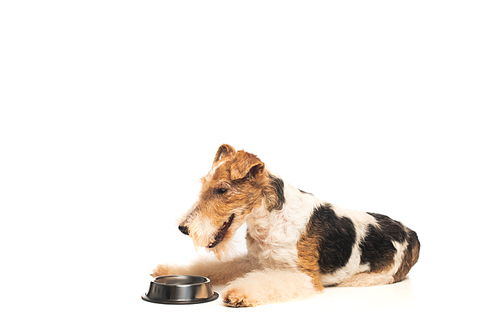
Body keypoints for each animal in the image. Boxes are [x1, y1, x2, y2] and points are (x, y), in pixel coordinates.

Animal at [154, 145, 420, 306]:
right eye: (204, 185)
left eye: (222, 189)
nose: (183, 228)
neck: (268, 221)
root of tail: (412, 233)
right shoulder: (255, 261)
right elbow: (217, 267)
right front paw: (164, 270)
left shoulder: (304, 275)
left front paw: (239, 293)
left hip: (386, 271)